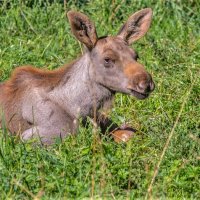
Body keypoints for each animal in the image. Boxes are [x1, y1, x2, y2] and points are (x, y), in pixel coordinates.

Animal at [0, 8, 155, 144]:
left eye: (136, 55)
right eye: (107, 59)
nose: (146, 83)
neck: (79, 107)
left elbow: (129, 133)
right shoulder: (35, 136)